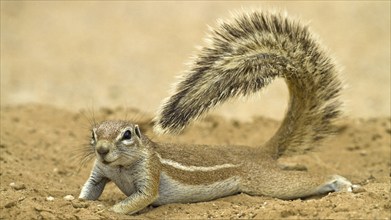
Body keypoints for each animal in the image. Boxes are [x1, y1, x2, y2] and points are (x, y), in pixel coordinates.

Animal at [78, 11, 356, 214]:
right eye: (93, 134)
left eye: (127, 135)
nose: (101, 150)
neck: (119, 167)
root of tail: (259, 151)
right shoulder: (99, 173)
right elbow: (90, 190)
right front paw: (78, 201)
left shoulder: (150, 172)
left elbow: (140, 198)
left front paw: (110, 211)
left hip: (267, 183)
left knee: (303, 181)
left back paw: (341, 183)